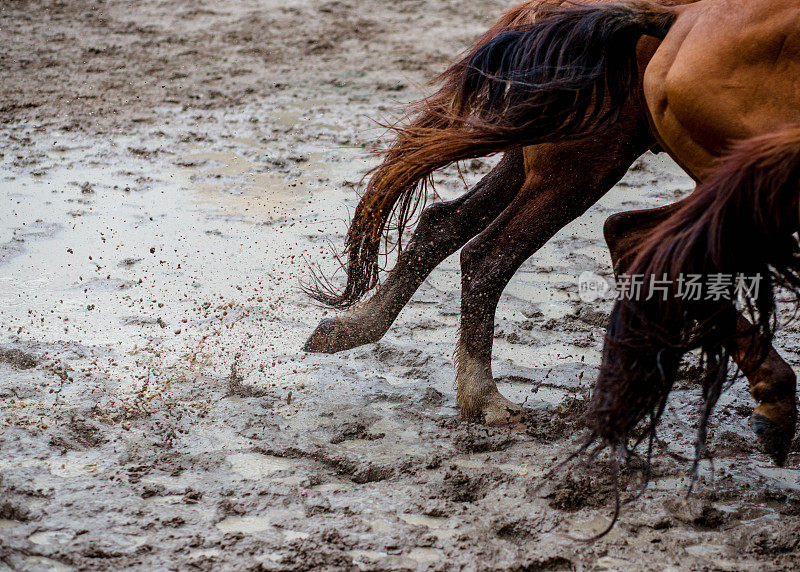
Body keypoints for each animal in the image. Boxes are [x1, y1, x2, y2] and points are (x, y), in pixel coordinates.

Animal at [304, 0, 792, 464]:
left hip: (551, 146)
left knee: (444, 222)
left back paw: (351, 328)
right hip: (587, 156)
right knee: (494, 254)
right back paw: (485, 399)